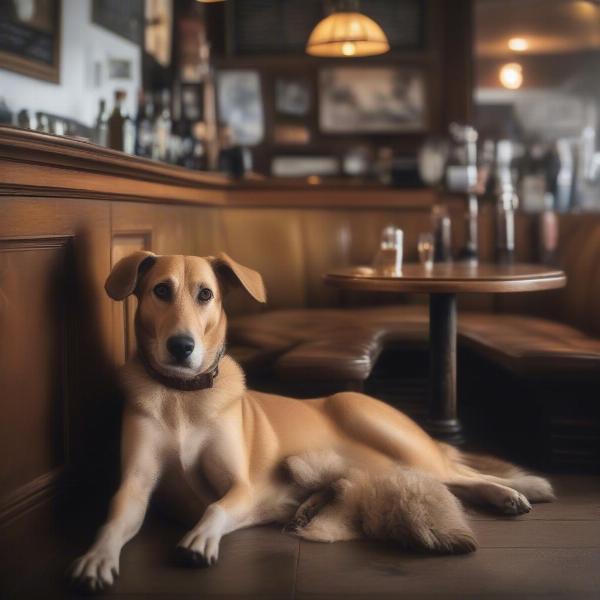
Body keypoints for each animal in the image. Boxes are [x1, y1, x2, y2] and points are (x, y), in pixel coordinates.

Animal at [69, 252, 552, 592]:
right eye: (161, 291)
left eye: (205, 294)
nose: (181, 346)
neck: (182, 396)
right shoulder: (135, 486)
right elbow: (114, 519)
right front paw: (96, 558)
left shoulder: (241, 486)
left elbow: (215, 506)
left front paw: (198, 539)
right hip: (383, 466)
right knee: (443, 480)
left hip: (386, 434)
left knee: (459, 472)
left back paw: (513, 491)